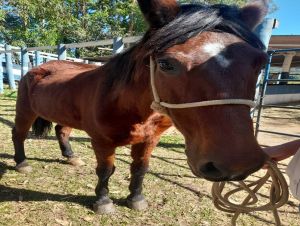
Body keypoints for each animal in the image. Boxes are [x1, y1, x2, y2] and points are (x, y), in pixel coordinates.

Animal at [12, 0, 268, 214]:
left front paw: (135, 199)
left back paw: (71, 157)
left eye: (260, 63)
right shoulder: (102, 142)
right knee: (19, 133)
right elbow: (106, 171)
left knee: (62, 131)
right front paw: (103, 202)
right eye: (166, 64)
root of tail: (39, 67)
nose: (237, 163)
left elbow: (140, 169)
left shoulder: (149, 140)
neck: (128, 105)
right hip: (25, 110)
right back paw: (22, 163)